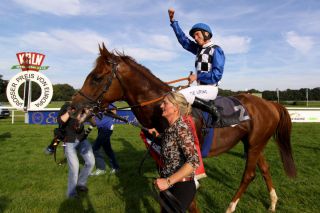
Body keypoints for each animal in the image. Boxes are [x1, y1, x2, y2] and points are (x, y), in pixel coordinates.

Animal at [71, 43, 296, 213]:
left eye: (96, 78)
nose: (74, 107)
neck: (161, 108)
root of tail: (270, 104)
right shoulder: (162, 156)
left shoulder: (189, 159)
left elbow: (189, 197)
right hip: (253, 143)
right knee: (264, 169)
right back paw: (273, 202)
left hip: (255, 144)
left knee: (249, 175)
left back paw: (230, 207)